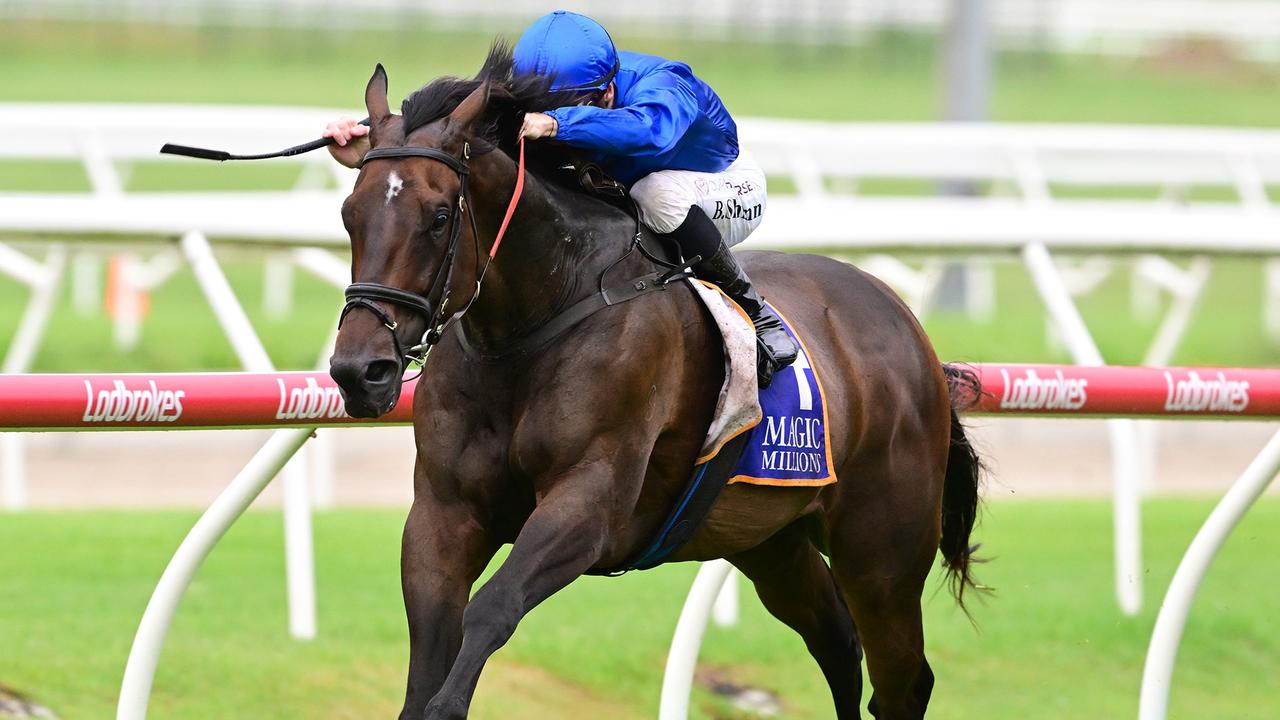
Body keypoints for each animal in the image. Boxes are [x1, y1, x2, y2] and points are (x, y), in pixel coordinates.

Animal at [325, 46, 983, 717]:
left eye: (438, 217)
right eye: (350, 214)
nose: (360, 371)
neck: (533, 324)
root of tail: (907, 325)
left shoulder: (588, 502)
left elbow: (490, 610)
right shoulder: (444, 510)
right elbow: (432, 640)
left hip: (882, 551)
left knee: (903, 680)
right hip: (772, 541)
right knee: (839, 645)